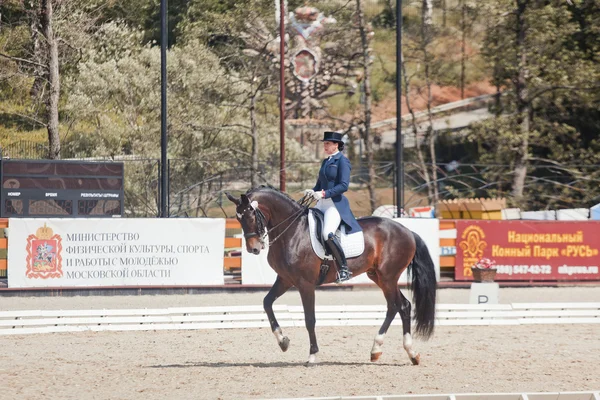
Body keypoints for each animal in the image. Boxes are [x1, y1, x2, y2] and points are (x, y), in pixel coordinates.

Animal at [225, 186, 436, 364]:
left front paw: (312, 355)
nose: (253, 248)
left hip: (388, 276)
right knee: (402, 306)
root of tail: (407, 230)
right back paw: (402, 353)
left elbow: (310, 319)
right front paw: (283, 341)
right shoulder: (285, 280)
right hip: (377, 276)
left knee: (396, 306)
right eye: (238, 218)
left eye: (251, 216)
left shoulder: (305, 284)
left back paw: (387, 350)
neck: (292, 231)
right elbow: (267, 303)